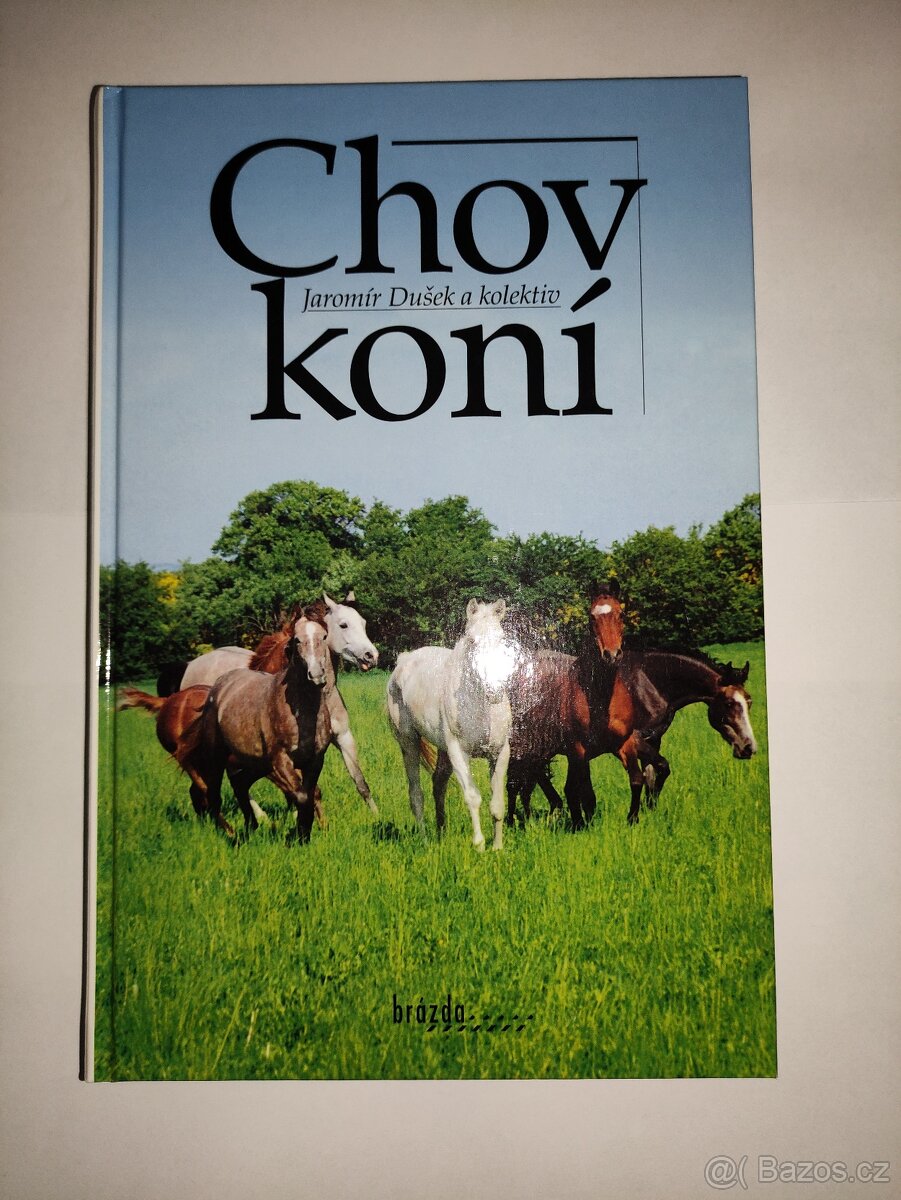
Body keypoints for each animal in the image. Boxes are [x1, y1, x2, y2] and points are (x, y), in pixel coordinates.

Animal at [173, 607, 333, 841]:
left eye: (324, 636)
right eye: (296, 640)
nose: (316, 675)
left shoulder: (314, 760)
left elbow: (310, 794)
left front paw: (306, 832)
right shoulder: (280, 762)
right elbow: (301, 796)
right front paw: (296, 835)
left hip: (254, 763)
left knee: (238, 785)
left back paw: (251, 825)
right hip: (217, 759)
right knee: (212, 795)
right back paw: (232, 834)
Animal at [386, 598, 518, 850]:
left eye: (501, 639)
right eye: (472, 640)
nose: (494, 687)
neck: (479, 704)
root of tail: (403, 660)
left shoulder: (500, 753)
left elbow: (497, 804)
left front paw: (498, 848)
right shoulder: (459, 752)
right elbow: (473, 798)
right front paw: (479, 846)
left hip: (442, 749)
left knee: (438, 784)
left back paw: (441, 833)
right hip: (409, 743)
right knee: (416, 795)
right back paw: (425, 841)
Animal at [507, 649, 757, 825]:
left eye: (749, 701)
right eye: (729, 704)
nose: (748, 747)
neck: (648, 684)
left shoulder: (653, 739)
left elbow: (655, 772)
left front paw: (649, 809)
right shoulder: (635, 739)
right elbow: (658, 769)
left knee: (534, 776)